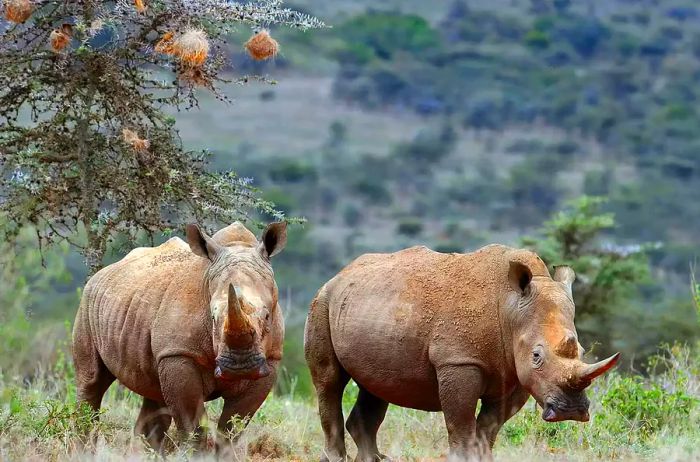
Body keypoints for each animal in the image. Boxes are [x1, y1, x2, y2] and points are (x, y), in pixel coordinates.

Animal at [73, 222, 288, 450]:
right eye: (212, 318)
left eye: (267, 316)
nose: (241, 366)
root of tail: (104, 271)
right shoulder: (178, 353)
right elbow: (193, 426)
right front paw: (198, 453)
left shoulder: (271, 358)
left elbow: (232, 429)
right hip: (88, 304)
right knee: (91, 381)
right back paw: (83, 447)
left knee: (155, 394)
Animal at [304, 244, 616, 460]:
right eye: (537, 356)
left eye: (582, 350)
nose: (571, 411)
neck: (511, 311)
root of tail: (340, 274)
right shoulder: (458, 362)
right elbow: (461, 423)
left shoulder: (514, 374)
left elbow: (488, 428)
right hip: (322, 302)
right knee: (329, 381)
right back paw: (336, 458)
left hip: (370, 308)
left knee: (376, 386)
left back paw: (376, 459)